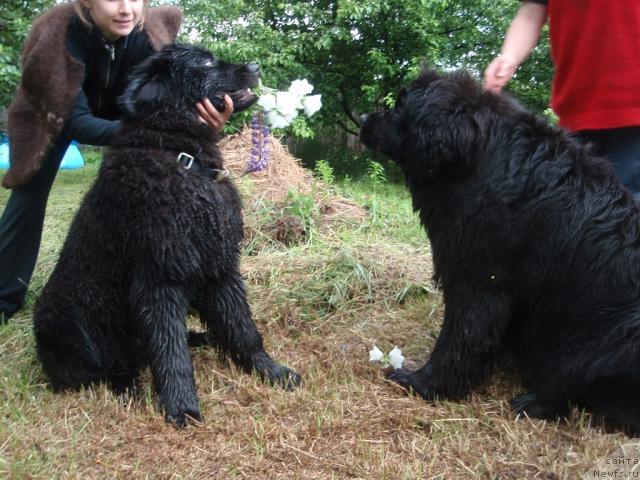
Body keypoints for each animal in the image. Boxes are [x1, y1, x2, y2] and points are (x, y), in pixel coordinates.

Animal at [36, 45, 302, 428]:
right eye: (205, 62)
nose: (255, 65)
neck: (180, 154)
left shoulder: (220, 267)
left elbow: (243, 329)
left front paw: (270, 370)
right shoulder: (159, 280)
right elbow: (170, 351)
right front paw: (181, 406)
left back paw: (202, 337)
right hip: (62, 323)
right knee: (101, 369)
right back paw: (128, 387)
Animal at [362, 67, 640, 432]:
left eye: (399, 107)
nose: (363, 118)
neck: (477, 159)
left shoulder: (480, 281)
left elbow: (461, 337)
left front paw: (426, 383)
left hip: (619, 337)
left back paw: (533, 402)